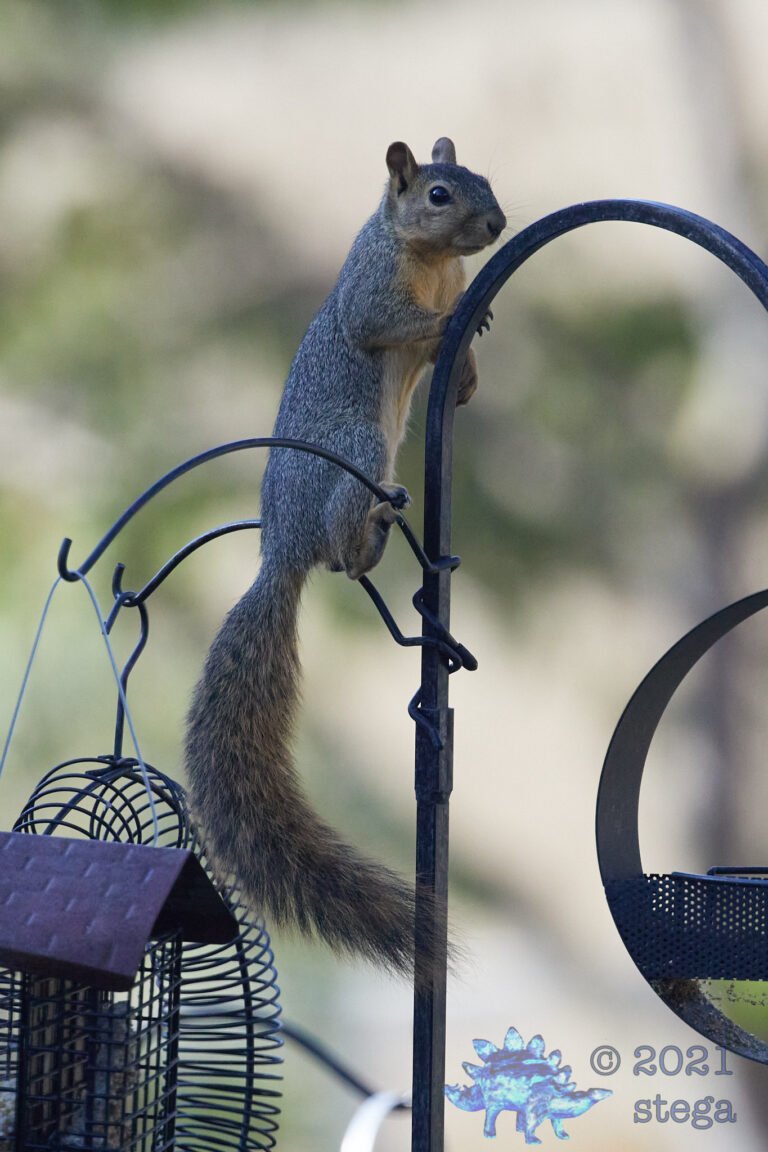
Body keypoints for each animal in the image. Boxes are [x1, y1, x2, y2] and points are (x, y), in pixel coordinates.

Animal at [185, 137, 506, 975]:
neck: (429, 260)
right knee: (343, 558)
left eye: (485, 179)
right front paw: (458, 321)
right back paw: (372, 532)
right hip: (357, 447)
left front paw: (466, 375)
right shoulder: (372, 285)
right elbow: (386, 321)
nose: (496, 224)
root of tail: (280, 547)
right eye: (436, 194)